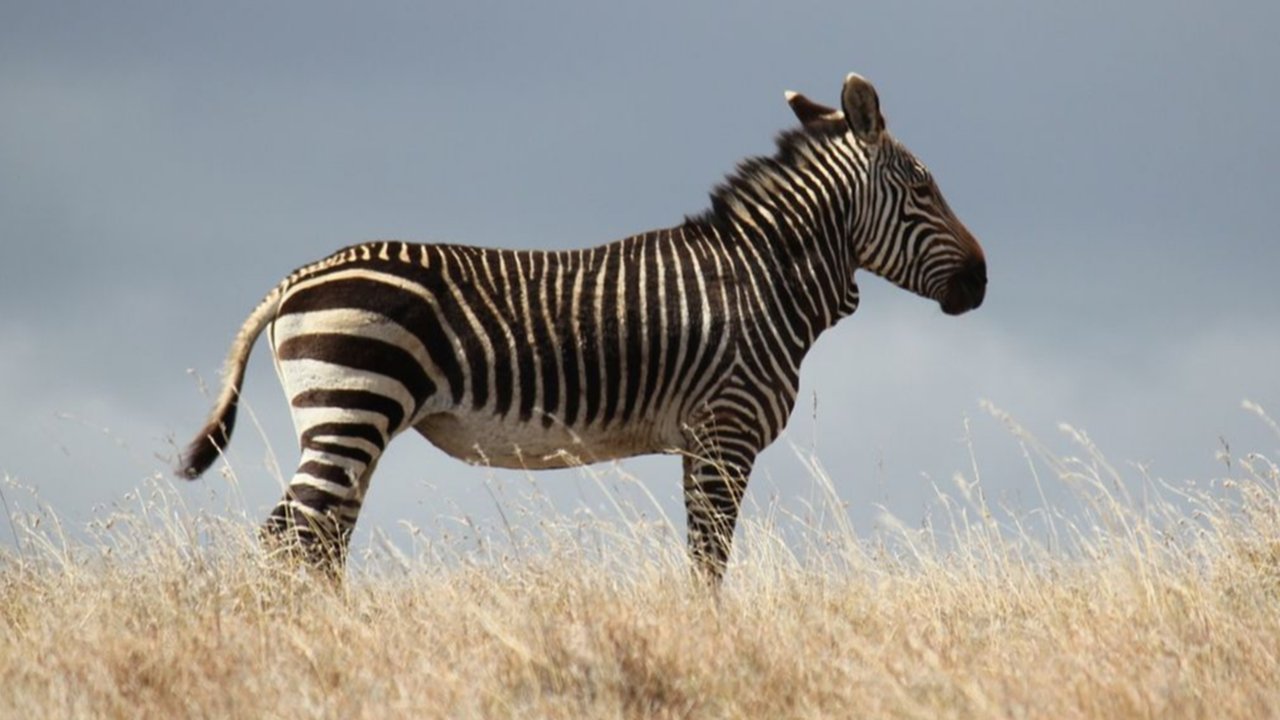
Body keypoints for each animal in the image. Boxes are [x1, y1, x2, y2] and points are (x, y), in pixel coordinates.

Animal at [178, 73, 986, 584]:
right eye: (922, 188)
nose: (981, 281)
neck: (762, 278)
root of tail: (295, 280)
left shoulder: (700, 440)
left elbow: (701, 556)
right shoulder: (725, 432)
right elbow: (710, 558)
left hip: (348, 419)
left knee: (319, 539)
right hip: (354, 404)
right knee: (290, 536)